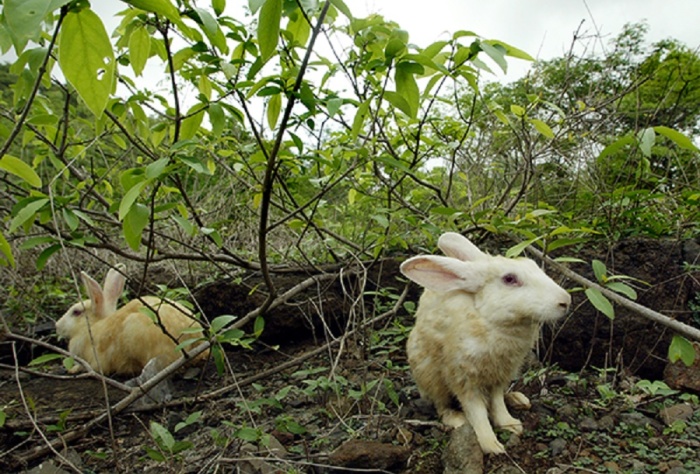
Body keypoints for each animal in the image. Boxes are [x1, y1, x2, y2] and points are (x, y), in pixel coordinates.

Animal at [402, 231, 572, 454]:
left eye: (533, 265)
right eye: (510, 279)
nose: (565, 301)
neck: (491, 321)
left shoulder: (501, 375)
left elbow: (497, 401)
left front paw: (511, 425)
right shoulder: (463, 377)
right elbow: (477, 411)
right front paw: (492, 445)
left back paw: (518, 399)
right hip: (429, 375)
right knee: (441, 405)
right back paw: (457, 419)